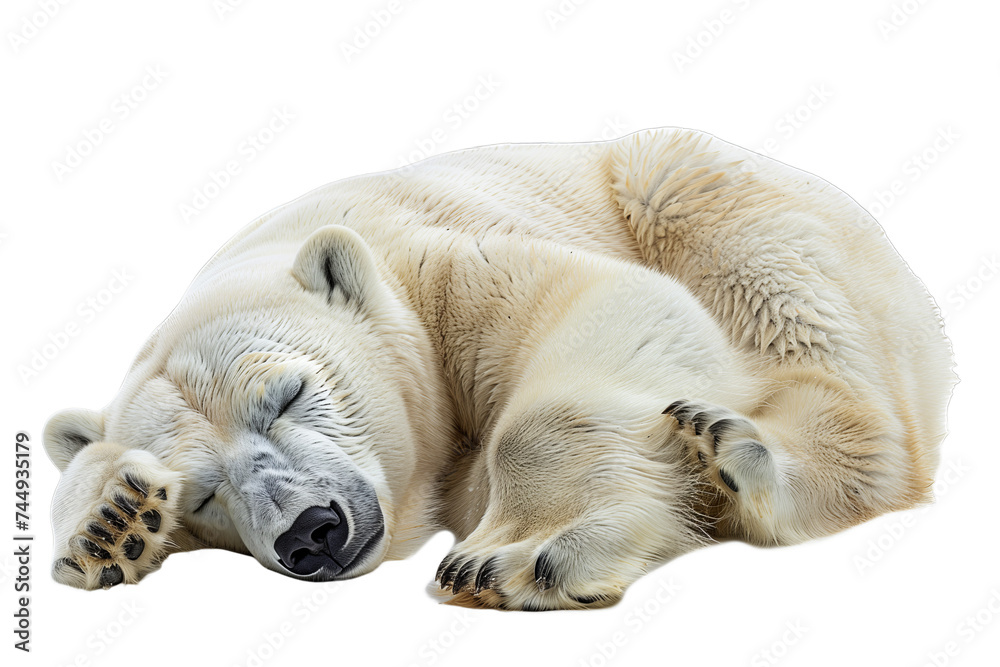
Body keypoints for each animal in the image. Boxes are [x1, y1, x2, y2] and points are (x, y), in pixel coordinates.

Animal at [43, 127, 955, 609]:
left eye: (288, 394)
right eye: (203, 494)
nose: (310, 529)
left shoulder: (446, 270)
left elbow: (602, 301)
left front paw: (515, 556)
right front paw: (115, 522)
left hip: (705, 194)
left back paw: (744, 455)